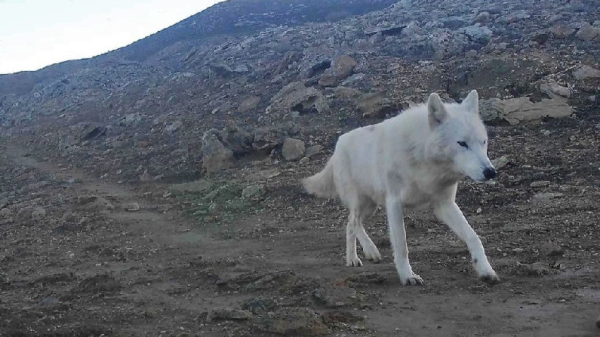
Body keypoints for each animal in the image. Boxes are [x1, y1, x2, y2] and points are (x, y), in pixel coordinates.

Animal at [302, 89, 500, 284]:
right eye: (462, 143)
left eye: (483, 142)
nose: (490, 172)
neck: (423, 157)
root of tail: (338, 144)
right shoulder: (394, 203)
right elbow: (401, 244)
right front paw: (408, 276)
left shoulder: (445, 205)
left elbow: (473, 237)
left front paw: (485, 270)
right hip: (361, 202)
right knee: (354, 222)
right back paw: (367, 252)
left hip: (371, 207)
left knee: (349, 225)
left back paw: (355, 258)